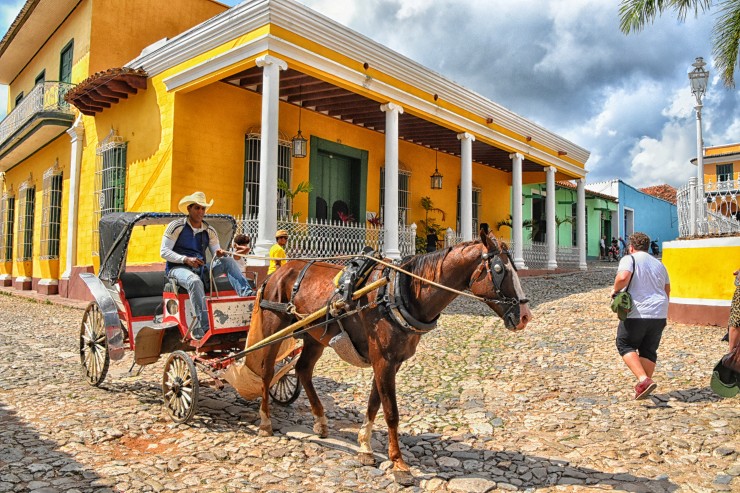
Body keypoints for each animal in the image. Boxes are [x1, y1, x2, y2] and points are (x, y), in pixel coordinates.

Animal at [244, 232, 532, 484]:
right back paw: (265, 422)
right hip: (274, 326)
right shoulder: (383, 359)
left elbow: (374, 403)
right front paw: (399, 464)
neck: (398, 293)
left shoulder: (391, 362)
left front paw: (365, 447)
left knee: (303, 370)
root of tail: (278, 272)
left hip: (315, 335)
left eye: (514, 268)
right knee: (267, 372)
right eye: (499, 269)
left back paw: (320, 421)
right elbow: (391, 412)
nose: (525, 316)